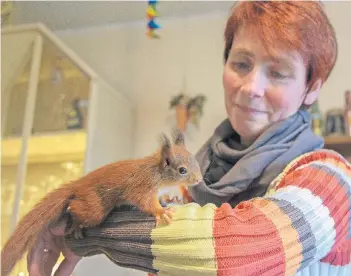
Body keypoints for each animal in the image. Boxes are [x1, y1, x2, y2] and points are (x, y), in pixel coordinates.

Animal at [0, 129, 204, 276]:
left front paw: (174, 199)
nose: (199, 180)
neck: (157, 171)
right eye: (182, 170)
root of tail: (78, 184)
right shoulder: (142, 186)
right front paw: (162, 211)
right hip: (94, 209)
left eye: (195, 161)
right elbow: (147, 203)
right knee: (74, 207)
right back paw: (75, 225)